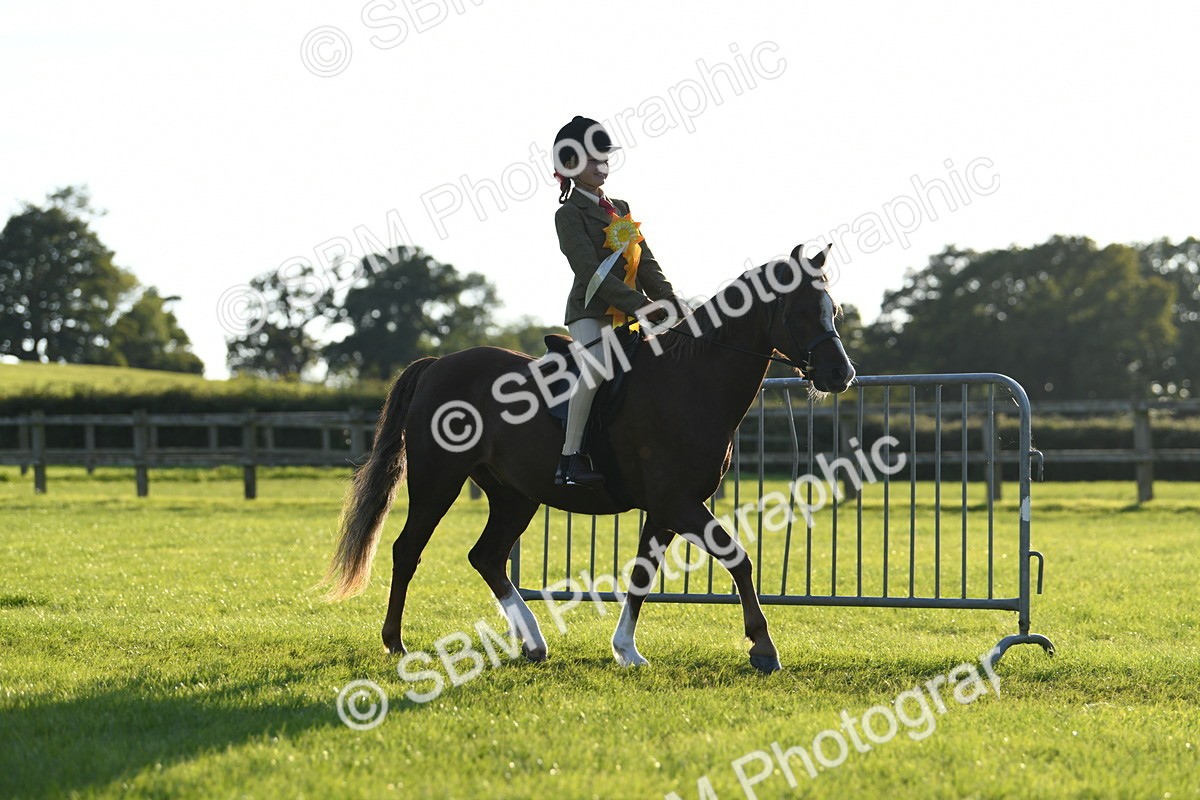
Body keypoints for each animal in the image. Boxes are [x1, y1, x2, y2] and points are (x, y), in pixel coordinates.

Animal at [325, 244, 856, 673]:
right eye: (802, 310)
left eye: (833, 308)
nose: (841, 373)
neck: (691, 380)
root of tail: (439, 365)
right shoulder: (678, 503)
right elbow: (738, 559)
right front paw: (763, 648)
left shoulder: (665, 510)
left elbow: (642, 575)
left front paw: (627, 650)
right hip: (439, 481)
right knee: (407, 550)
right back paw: (395, 643)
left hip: (515, 495)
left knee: (488, 557)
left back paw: (532, 643)